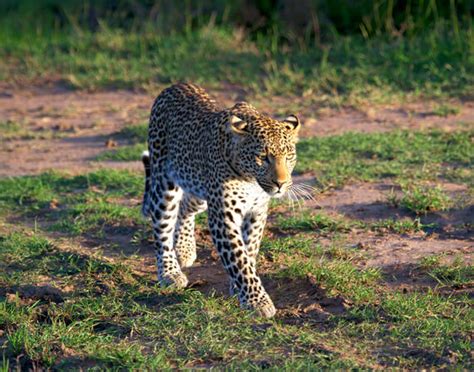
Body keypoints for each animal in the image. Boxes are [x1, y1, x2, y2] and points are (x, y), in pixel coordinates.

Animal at [141, 83, 300, 318]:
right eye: (263, 157)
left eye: (289, 156)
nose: (281, 183)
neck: (250, 180)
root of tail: (175, 85)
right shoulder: (223, 216)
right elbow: (239, 258)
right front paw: (257, 302)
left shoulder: (257, 212)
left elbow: (249, 250)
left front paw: (238, 288)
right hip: (164, 184)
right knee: (162, 227)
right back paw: (169, 272)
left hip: (198, 191)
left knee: (185, 208)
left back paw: (185, 249)